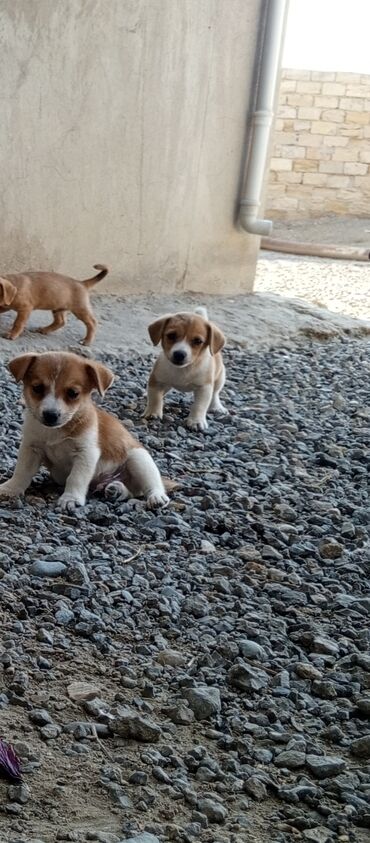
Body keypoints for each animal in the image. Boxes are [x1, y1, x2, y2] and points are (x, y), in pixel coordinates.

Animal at [0, 352, 169, 512]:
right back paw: (116, 490)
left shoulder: (86, 453)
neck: (55, 431)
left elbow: (76, 478)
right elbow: (22, 472)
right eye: (37, 388)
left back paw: (157, 497)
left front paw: (71, 498)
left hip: (139, 459)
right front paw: (11, 488)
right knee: (131, 491)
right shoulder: (31, 448)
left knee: (150, 485)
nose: (50, 415)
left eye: (73, 393)